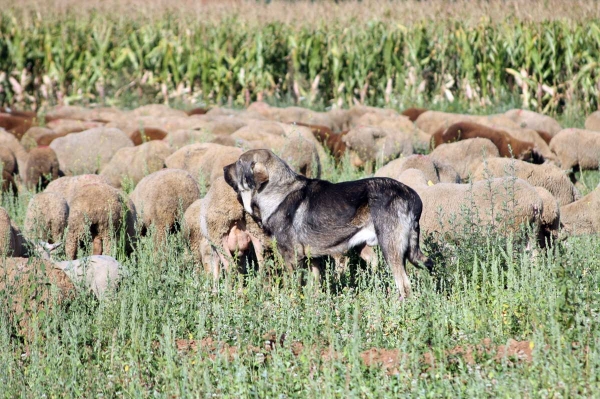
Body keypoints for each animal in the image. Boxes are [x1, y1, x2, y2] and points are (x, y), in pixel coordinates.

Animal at [223, 148, 434, 298]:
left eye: (239, 162)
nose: (224, 168)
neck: (277, 191)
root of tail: (412, 196)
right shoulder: (313, 260)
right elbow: (315, 286)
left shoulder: (291, 257)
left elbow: (294, 286)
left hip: (391, 249)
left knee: (404, 286)